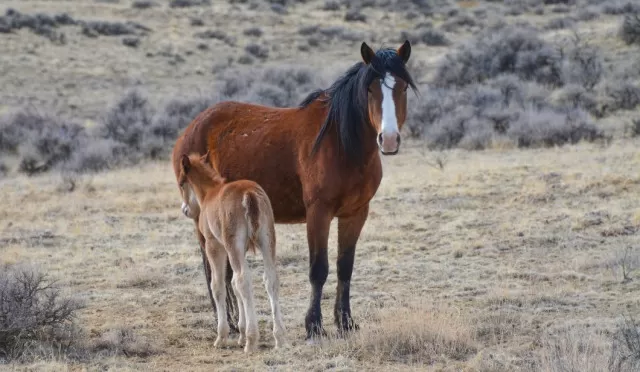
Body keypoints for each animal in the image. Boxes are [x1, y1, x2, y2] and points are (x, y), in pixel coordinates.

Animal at [175, 151, 284, 352]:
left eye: (181, 182)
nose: (185, 210)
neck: (209, 193)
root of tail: (249, 194)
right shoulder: (237, 249)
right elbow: (232, 284)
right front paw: (240, 333)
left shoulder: (215, 246)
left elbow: (218, 285)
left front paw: (222, 336)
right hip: (267, 240)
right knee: (270, 279)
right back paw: (279, 338)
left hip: (234, 245)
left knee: (243, 280)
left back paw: (251, 340)